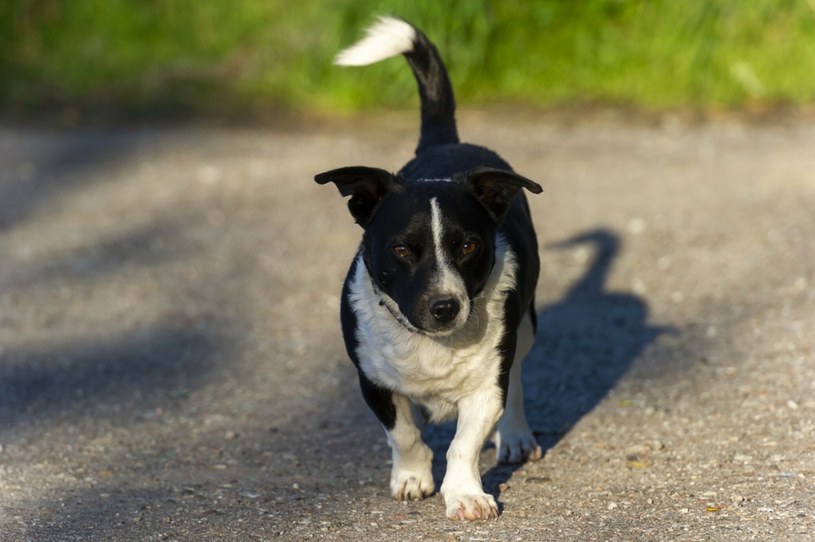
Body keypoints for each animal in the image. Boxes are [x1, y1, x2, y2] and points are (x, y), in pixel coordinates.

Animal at [316, 14, 544, 520]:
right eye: (402, 249)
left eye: (469, 246)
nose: (444, 307)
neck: (429, 342)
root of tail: (448, 143)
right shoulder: (372, 378)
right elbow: (403, 432)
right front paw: (412, 478)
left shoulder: (486, 386)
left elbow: (465, 442)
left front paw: (465, 495)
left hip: (526, 324)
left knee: (519, 378)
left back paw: (516, 436)